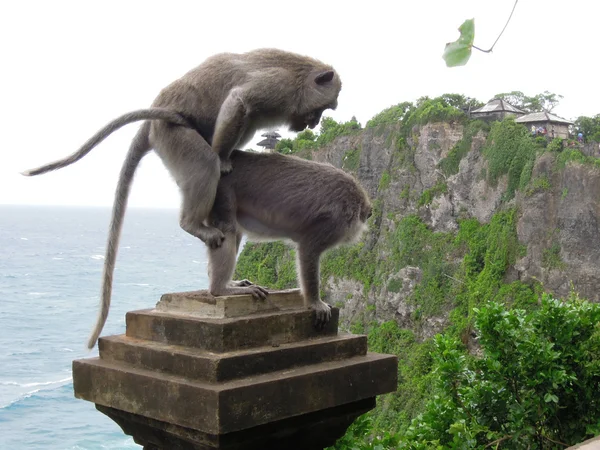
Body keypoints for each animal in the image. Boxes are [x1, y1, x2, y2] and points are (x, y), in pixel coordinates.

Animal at [22, 48, 342, 348]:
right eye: (323, 108)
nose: (314, 124)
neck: (300, 78)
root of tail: (153, 119)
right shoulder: (278, 86)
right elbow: (239, 102)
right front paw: (224, 160)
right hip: (174, 135)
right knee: (204, 163)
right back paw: (194, 222)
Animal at [206, 149, 372, 328]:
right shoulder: (334, 223)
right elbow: (308, 249)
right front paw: (315, 303)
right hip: (222, 189)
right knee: (227, 228)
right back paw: (220, 289)